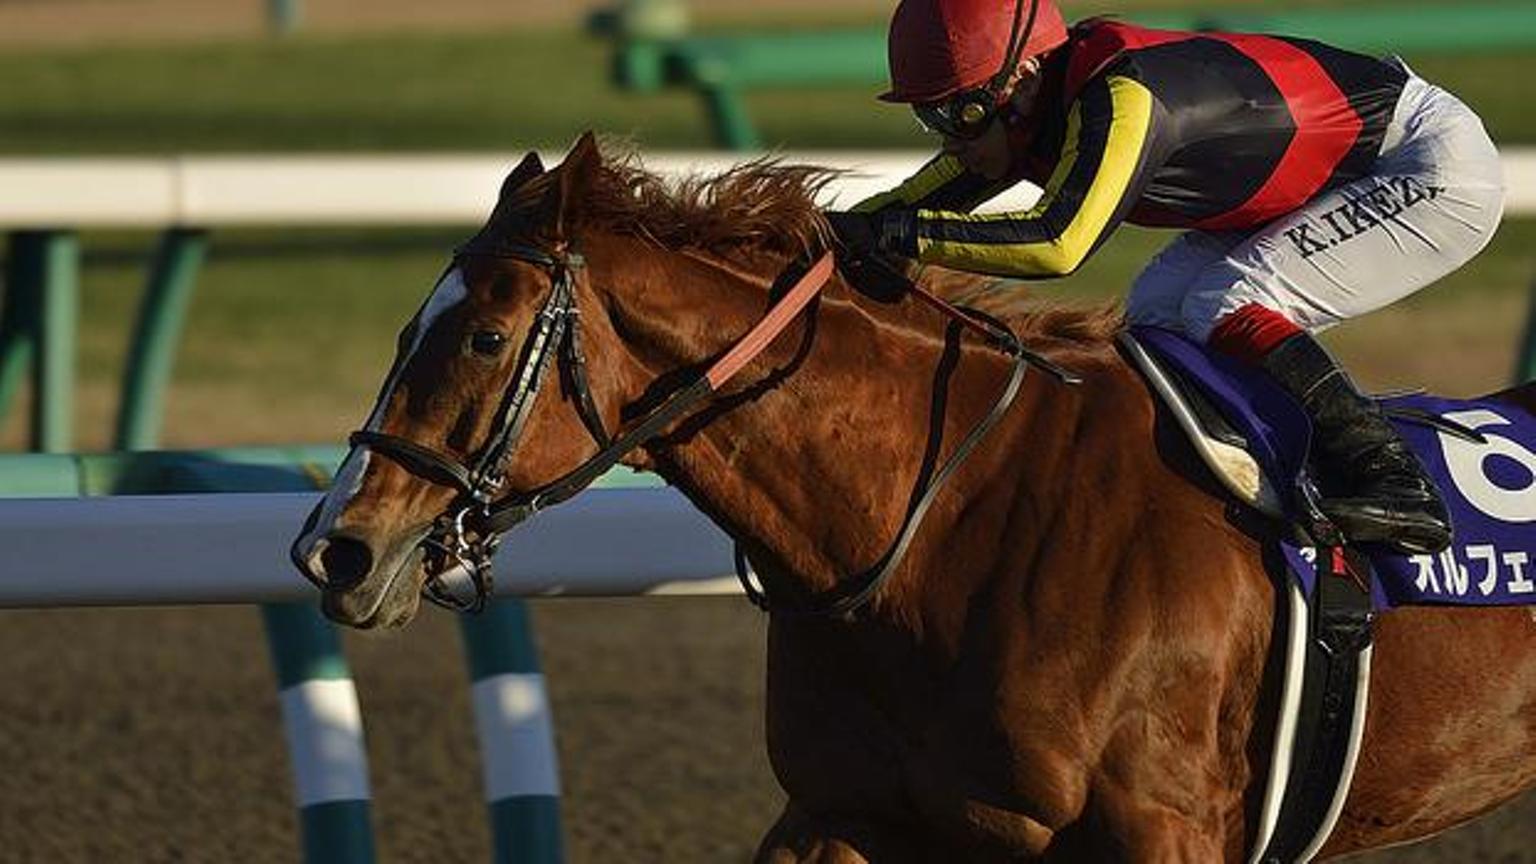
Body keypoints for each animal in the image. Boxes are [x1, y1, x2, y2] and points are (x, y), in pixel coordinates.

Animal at [291, 133, 1536, 862]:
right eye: (405, 331)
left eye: (484, 335)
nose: (335, 550)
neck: (949, 518)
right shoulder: (847, 811)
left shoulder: (1163, 828)